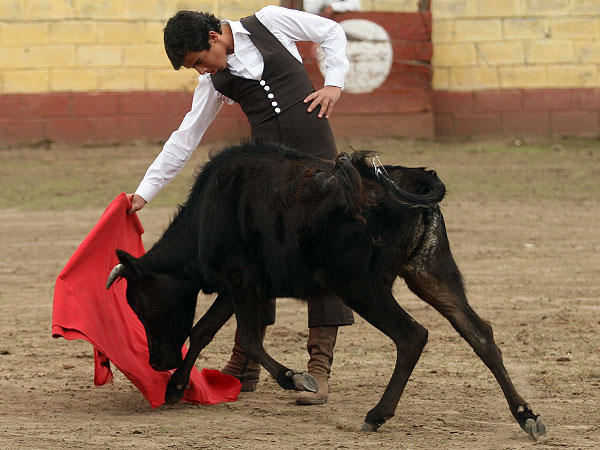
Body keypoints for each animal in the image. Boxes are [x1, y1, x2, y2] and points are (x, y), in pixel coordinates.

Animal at [105, 144, 548, 440]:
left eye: (140, 303)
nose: (157, 362)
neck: (206, 216)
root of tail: (407, 180)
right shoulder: (235, 288)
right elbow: (203, 331)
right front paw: (176, 388)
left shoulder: (242, 284)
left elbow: (247, 337)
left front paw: (296, 379)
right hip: (431, 272)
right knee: (478, 332)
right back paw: (526, 415)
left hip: (361, 286)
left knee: (412, 336)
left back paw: (376, 415)